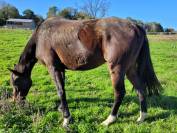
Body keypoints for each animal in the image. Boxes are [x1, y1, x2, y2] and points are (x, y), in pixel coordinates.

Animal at [8, 17, 162, 127]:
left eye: (15, 82)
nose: (16, 102)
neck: (41, 36)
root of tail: (135, 26)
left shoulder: (53, 68)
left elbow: (60, 91)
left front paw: (66, 119)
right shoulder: (61, 69)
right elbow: (63, 89)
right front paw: (62, 109)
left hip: (117, 68)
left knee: (119, 93)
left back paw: (109, 120)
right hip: (129, 69)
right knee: (140, 89)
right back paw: (142, 117)